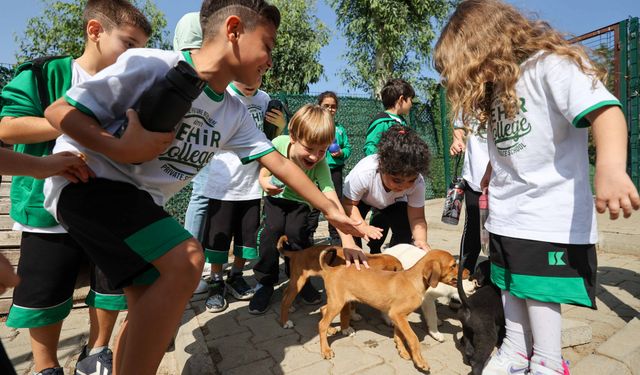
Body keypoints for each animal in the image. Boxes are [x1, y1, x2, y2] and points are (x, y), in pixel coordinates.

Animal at [318, 250, 460, 374]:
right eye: (453, 265)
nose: (465, 274)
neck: (413, 281)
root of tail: (331, 270)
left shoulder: (399, 316)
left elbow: (399, 335)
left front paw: (402, 351)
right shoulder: (397, 314)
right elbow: (412, 338)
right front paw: (420, 361)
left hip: (336, 301)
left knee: (323, 310)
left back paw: (331, 330)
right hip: (337, 303)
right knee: (322, 324)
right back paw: (326, 350)